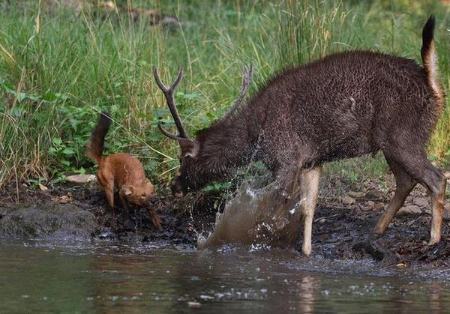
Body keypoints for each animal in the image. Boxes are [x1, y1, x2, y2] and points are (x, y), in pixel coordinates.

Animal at [155, 15, 446, 255]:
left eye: (184, 158)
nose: (174, 185)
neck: (255, 135)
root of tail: (431, 82)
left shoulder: (287, 158)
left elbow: (274, 210)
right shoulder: (311, 162)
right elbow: (308, 208)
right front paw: (306, 251)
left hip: (403, 136)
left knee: (436, 177)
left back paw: (432, 239)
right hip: (392, 142)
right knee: (406, 181)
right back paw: (377, 230)